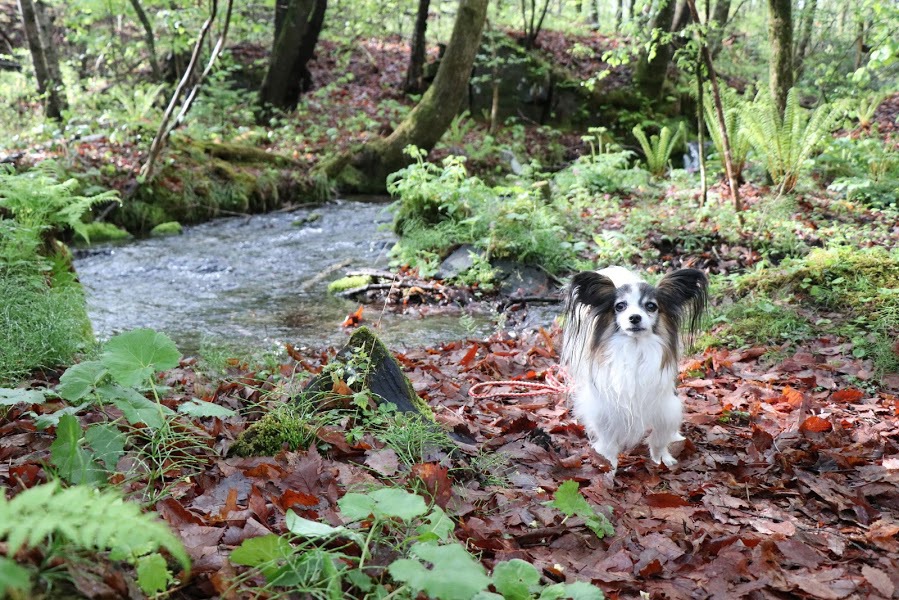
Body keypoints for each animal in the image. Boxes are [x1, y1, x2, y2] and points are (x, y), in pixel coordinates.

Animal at [564, 268, 712, 474]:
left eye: (651, 306)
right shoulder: (605, 410)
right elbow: (608, 442)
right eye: (620, 306)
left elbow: (659, 438)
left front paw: (662, 459)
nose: (635, 317)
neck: (634, 349)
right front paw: (608, 465)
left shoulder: (665, 407)